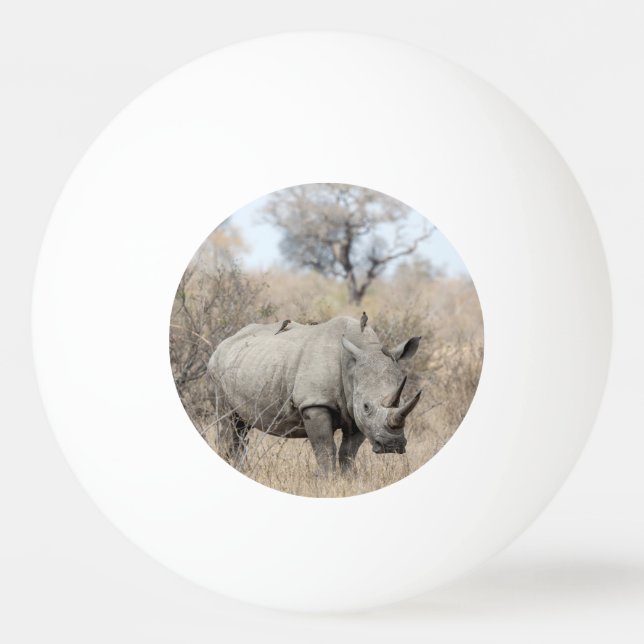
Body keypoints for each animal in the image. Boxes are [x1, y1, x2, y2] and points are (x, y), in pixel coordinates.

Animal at [207, 315, 422, 474]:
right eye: (367, 406)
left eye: (403, 400)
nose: (391, 446)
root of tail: (224, 343)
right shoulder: (315, 403)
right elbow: (325, 448)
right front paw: (328, 480)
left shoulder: (354, 410)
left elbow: (348, 452)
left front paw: (349, 479)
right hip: (217, 370)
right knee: (228, 421)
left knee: (241, 428)